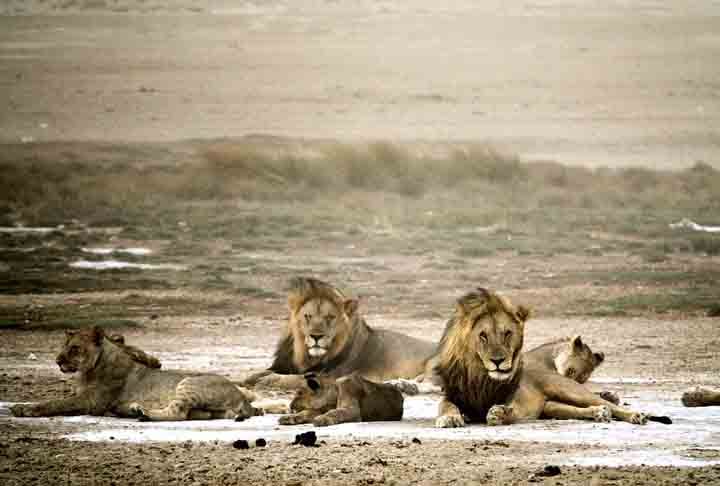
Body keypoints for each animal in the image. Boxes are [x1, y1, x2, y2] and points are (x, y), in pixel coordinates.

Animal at [9, 326, 262, 422]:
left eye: (75, 348)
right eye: (63, 346)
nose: (57, 360)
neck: (87, 371)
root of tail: (242, 397)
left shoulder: (92, 401)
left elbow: (56, 403)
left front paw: (24, 409)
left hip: (188, 383)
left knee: (177, 413)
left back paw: (141, 412)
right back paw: (130, 411)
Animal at [245, 278, 436, 388]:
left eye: (330, 317)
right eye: (308, 316)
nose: (316, 336)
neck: (307, 356)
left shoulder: (331, 377)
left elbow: (291, 379)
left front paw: (268, 380)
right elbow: (260, 373)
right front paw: (248, 378)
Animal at [434, 288, 652, 430]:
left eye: (507, 334)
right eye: (483, 336)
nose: (497, 360)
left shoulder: (521, 399)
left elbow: (512, 410)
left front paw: (501, 414)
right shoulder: (452, 396)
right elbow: (446, 406)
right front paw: (450, 418)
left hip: (568, 389)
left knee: (607, 404)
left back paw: (635, 415)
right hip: (554, 403)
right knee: (586, 408)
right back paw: (599, 413)